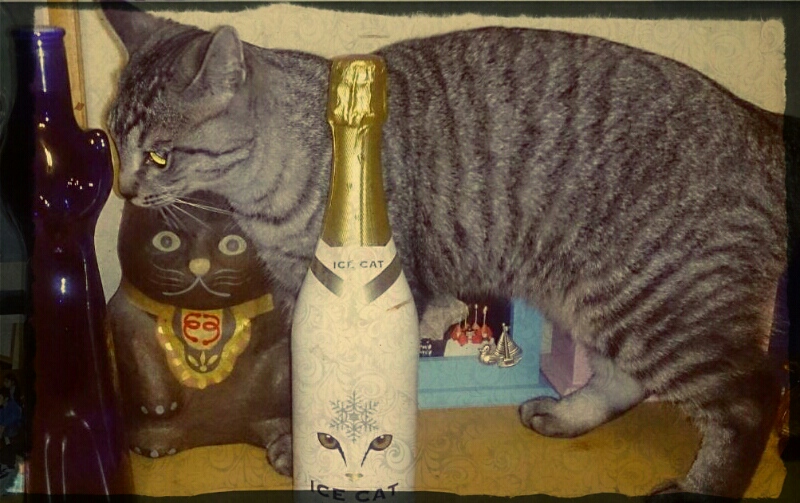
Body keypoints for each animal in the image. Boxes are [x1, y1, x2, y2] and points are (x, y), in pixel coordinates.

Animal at [106, 191, 292, 474]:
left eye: (233, 245)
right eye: (166, 241)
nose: (199, 266)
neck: (205, 312)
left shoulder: (279, 308)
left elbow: (283, 351)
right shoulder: (125, 311)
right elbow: (137, 347)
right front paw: (160, 405)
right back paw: (156, 446)